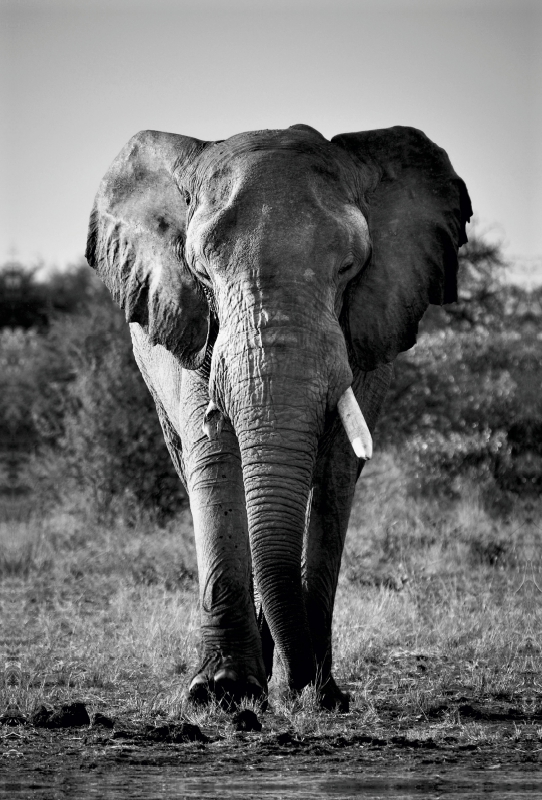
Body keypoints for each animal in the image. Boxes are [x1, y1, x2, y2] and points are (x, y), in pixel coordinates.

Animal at [85, 122, 472, 708]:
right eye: (202, 271)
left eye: (349, 267)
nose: (308, 687)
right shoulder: (197, 327)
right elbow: (214, 458)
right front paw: (223, 693)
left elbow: (336, 471)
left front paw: (322, 693)